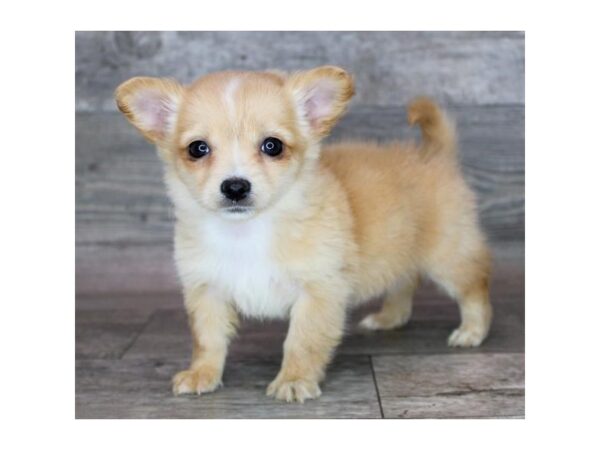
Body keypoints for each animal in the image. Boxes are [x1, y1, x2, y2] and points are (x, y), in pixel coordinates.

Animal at [115, 65, 490, 402]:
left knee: (475, 289)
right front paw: (202, 374)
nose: (235, 186)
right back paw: (389, 317)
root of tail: (433, 154)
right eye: (198, 149)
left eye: (272, 146)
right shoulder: (206, 291)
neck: (248, 232)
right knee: (404, 282)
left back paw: (472, 331)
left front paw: (294, 380)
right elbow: (208, 339)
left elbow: (302, 342)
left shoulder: (318, 292)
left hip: (448, 258)